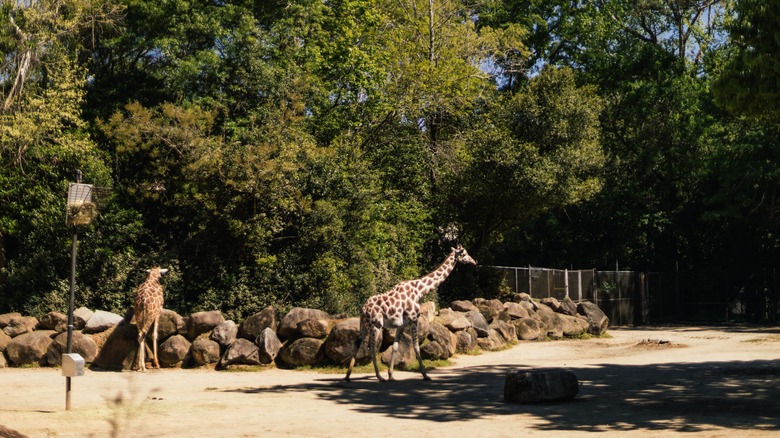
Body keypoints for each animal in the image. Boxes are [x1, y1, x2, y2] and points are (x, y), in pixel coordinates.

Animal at [346, 245, 478, 382]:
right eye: (464, 253)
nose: (474, 262)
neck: (420, 291)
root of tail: (364, 308)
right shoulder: (414, 318)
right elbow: (416, 347)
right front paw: (425, 375)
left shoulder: (401, 324)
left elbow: (395, 347)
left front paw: (391, 375)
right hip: (376, 325)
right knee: (371, 348)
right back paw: (379, 377)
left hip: (364, 325)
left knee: (357, 344)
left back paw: (348, 376)